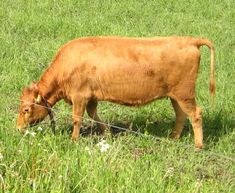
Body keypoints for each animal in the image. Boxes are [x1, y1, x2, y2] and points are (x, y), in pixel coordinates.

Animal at [16, 36, 215, 149]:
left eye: (26, 110)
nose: (18, 128)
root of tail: (189, 40)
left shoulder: (79, 96)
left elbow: (77, 118)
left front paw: (73, 140)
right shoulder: (91, 97)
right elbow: (94, 115)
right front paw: (107, 133)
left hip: (184, 93)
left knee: (196, 114)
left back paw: (198, 145)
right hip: (175, 95)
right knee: (181, 114)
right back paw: (174, 137)